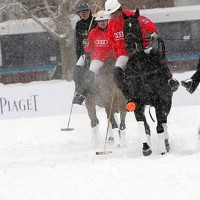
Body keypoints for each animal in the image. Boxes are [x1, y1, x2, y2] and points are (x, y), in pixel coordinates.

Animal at [122, 9, 174, 155]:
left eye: (136, 26)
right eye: (124, 28)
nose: (130, 46)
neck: (141, 68)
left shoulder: (160, 101)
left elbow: (160, 126)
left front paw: (162, 150)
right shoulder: (137, 102)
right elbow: (143, 126)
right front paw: (146, 147)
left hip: (168, 101)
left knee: (164, 122)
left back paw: (166, 144)